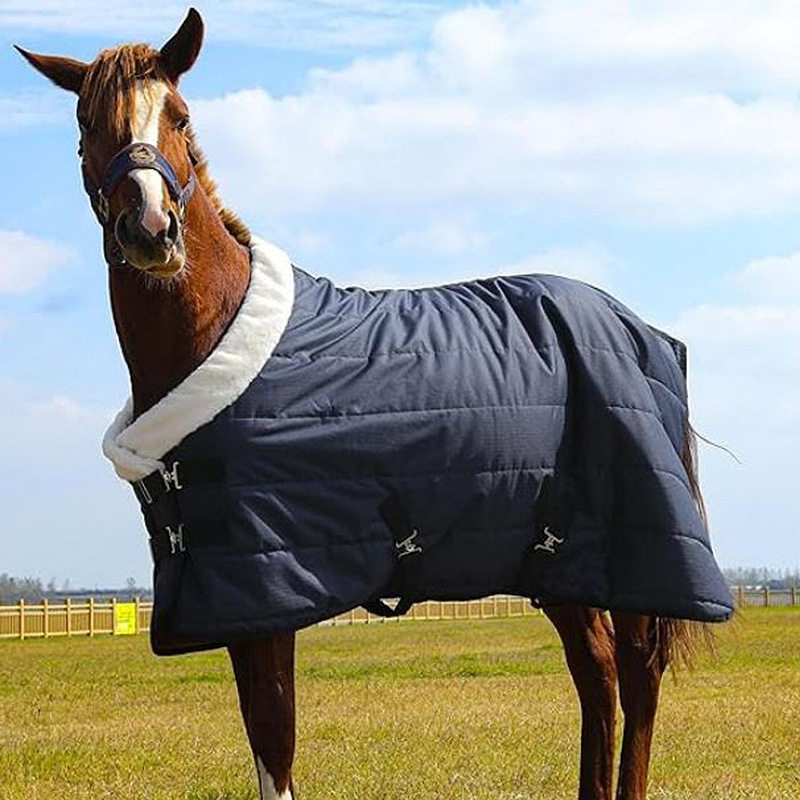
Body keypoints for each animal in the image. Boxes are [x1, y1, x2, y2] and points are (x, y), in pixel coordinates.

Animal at [18, 9, 730, 800]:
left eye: (179, 116)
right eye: (87, 123)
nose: (150, 230)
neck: (219, 333)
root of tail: (641, 330)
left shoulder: (271, 589)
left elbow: (275, 737)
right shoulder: (232, 594)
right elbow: (260, 738)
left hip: (632, 556)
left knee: (636, 677)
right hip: (561, 562)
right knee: (597, 677)